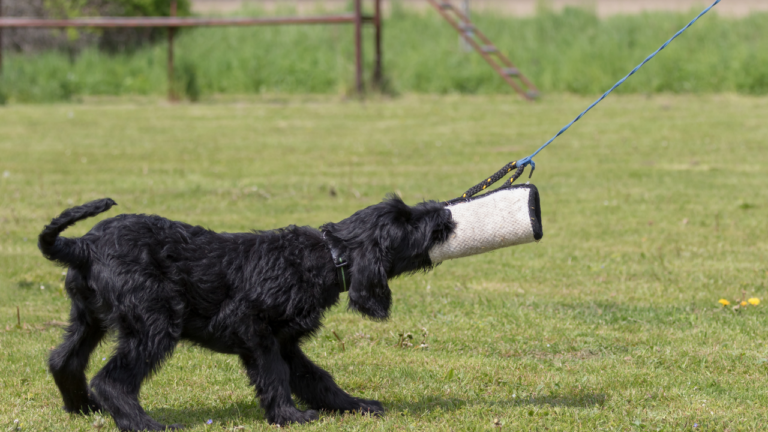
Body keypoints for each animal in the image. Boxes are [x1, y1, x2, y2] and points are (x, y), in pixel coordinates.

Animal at [37, 197, 456, 430]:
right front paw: (289, 416)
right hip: (153, 326)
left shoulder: (287, 342)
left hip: (88, 319)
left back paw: (83, 408)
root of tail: (83, 247)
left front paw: (353, 406)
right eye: (405, 220)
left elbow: (316, 378)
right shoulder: (254, 329)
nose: (444, 215)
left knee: (63, 360)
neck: (325, 256)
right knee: (111, 380)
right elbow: (274, 374)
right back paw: (144, 424)